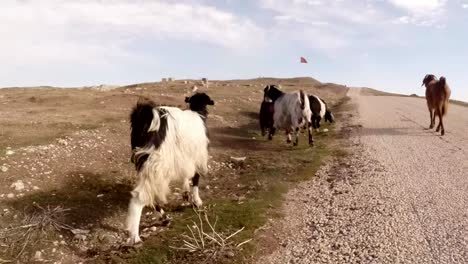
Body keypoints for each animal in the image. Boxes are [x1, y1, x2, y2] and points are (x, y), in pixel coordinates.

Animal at [128, 92, 216, 243]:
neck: (197, 113)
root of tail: (145, 115)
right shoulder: (198, 157)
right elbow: (196, 179)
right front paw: (197, 201)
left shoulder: (186, 156)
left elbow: (186, 176)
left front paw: (186, 194)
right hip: (156, 162)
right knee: (140, 196)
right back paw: (135, 237)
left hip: (146, 163)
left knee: (150, 194)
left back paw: (164, 219)